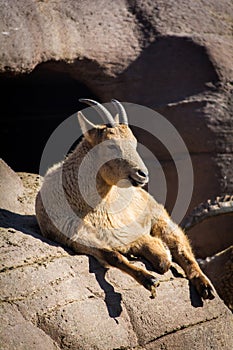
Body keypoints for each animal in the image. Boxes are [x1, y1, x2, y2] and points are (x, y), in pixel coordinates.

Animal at [35, 100, 215, 300]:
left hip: (160, 217)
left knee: (182, 249)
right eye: (111, 145)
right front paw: (148, 279)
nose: (142, 174)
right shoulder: (76, 237)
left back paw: (205, 287)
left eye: (134, 142)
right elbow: (112, 256)